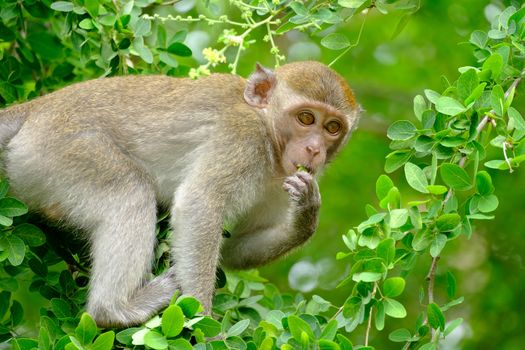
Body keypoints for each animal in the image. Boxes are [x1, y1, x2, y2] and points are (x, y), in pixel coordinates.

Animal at [0, 61, 358, 326]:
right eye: (306, 118)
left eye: (332, 127)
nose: (314, 150)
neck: (268, 131)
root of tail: (36, 109)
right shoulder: (242, 139)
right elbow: (200, 204)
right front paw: (203, 321)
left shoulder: (281, 179)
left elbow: (233, 252)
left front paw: (306, 214)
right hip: (56, 152)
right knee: (129, 190)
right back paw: (113, 310)